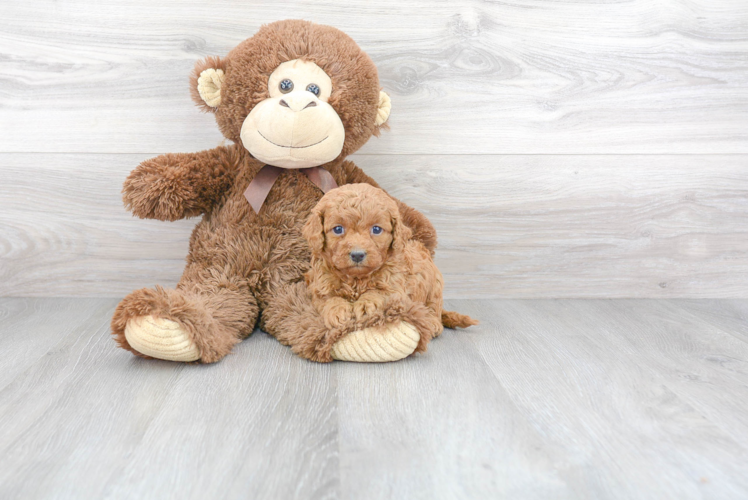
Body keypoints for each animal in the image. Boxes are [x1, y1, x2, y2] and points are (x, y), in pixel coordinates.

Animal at [300, 182, 476, 354]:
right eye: (338, 229)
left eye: (376, 229)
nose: (357, 255)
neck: (357, 279)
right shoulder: (318, 285)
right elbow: (329, 298)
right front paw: (337, 311)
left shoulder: (397, 287)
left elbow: (380, 292)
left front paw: (365, 305)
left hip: (435, 285)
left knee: (434, 307)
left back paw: (433, 323)